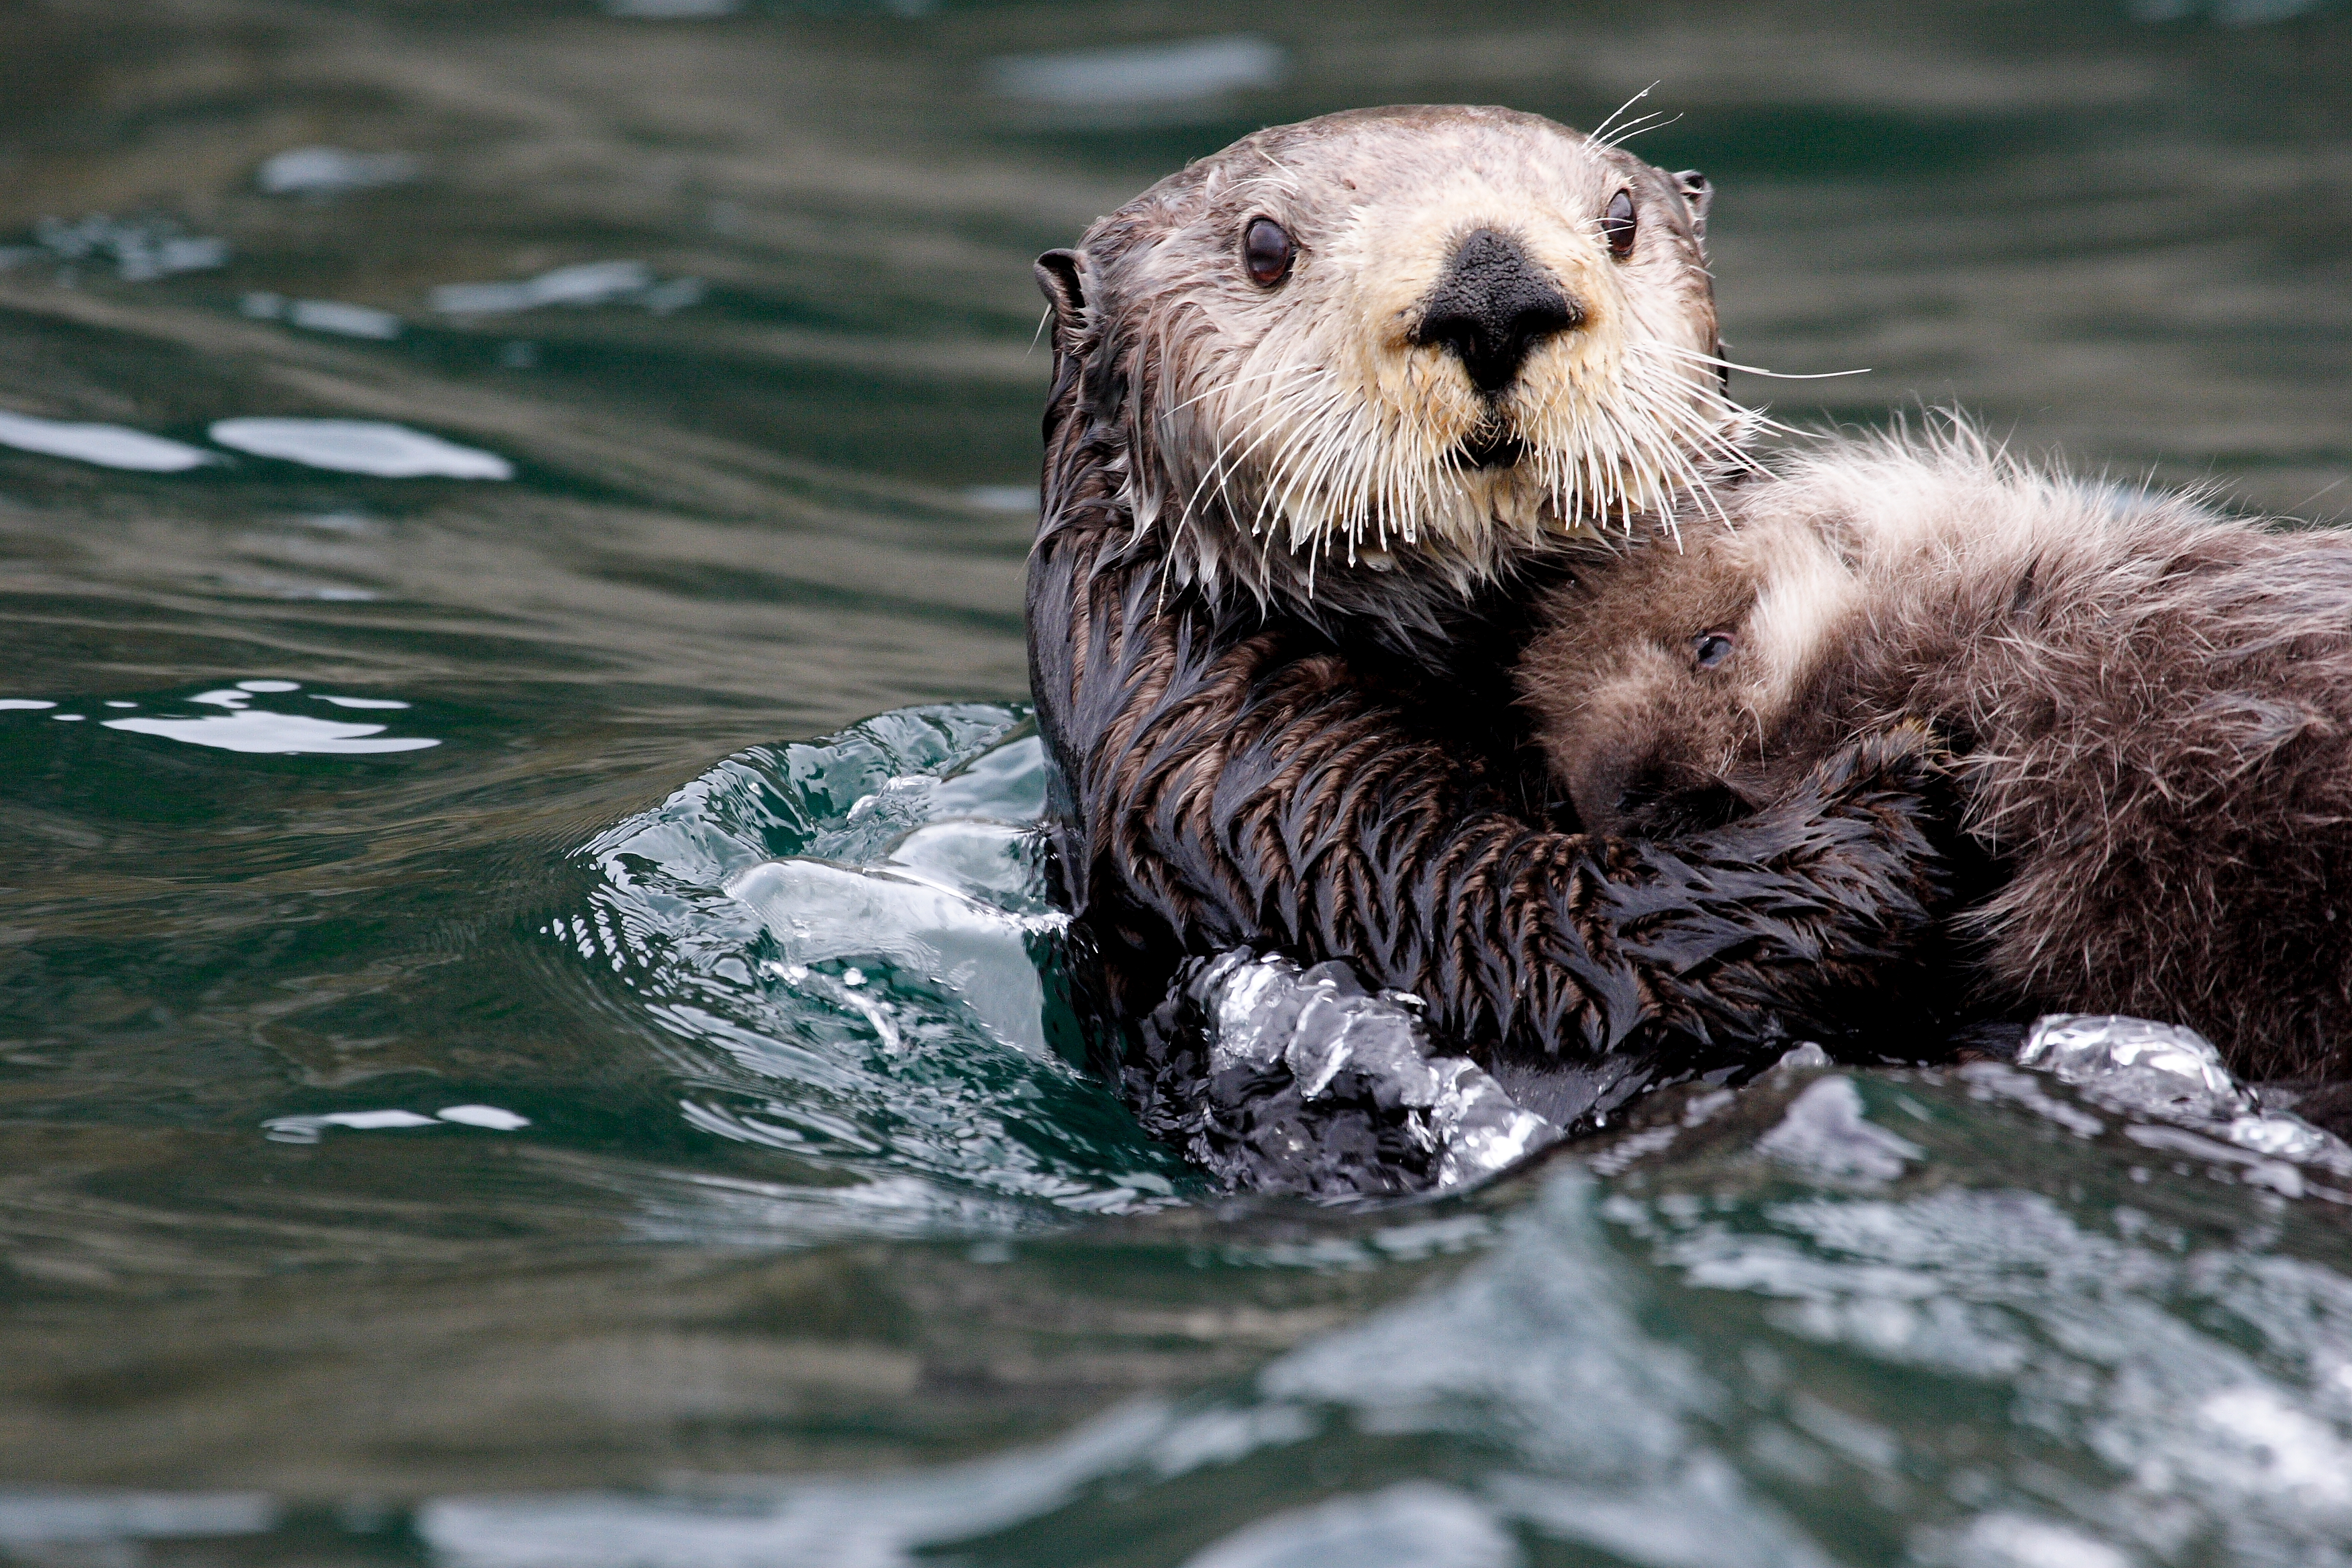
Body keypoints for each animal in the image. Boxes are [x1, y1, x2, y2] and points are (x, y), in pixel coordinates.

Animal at [1025, 107, 1947, 1142]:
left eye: (1621, 219)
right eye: (1265, 247)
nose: (1495, 293)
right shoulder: (1250, 778)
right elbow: (1518, 922)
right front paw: (1884, 792)